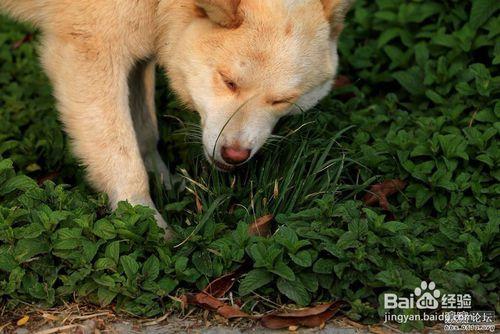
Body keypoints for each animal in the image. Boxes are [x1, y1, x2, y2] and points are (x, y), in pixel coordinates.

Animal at [0, 0, 352, 235]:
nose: (235, 155)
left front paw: (164, 182)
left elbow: (144, 132)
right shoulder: (91, 52)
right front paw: (145, 227)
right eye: (228, 82)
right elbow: (123, 160)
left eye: (281, 100)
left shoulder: (139, 51)